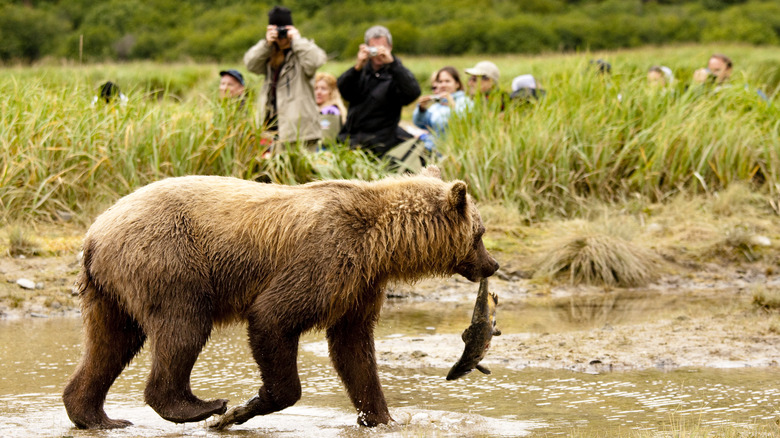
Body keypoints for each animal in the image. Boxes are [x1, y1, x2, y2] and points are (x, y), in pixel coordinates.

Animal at [62, 166, 500, 430]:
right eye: (479, 233)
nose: (492, 264)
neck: (382, 244)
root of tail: (95, 233)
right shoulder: (324, 258)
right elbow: (274, 317)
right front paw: (245, 408)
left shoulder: (359, 286)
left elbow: (354, 349)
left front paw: (380, 417)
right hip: (170, 260)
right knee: (182, 327)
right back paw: (201, 406)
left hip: (110, 289)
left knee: (110, 344)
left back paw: (96, 416)